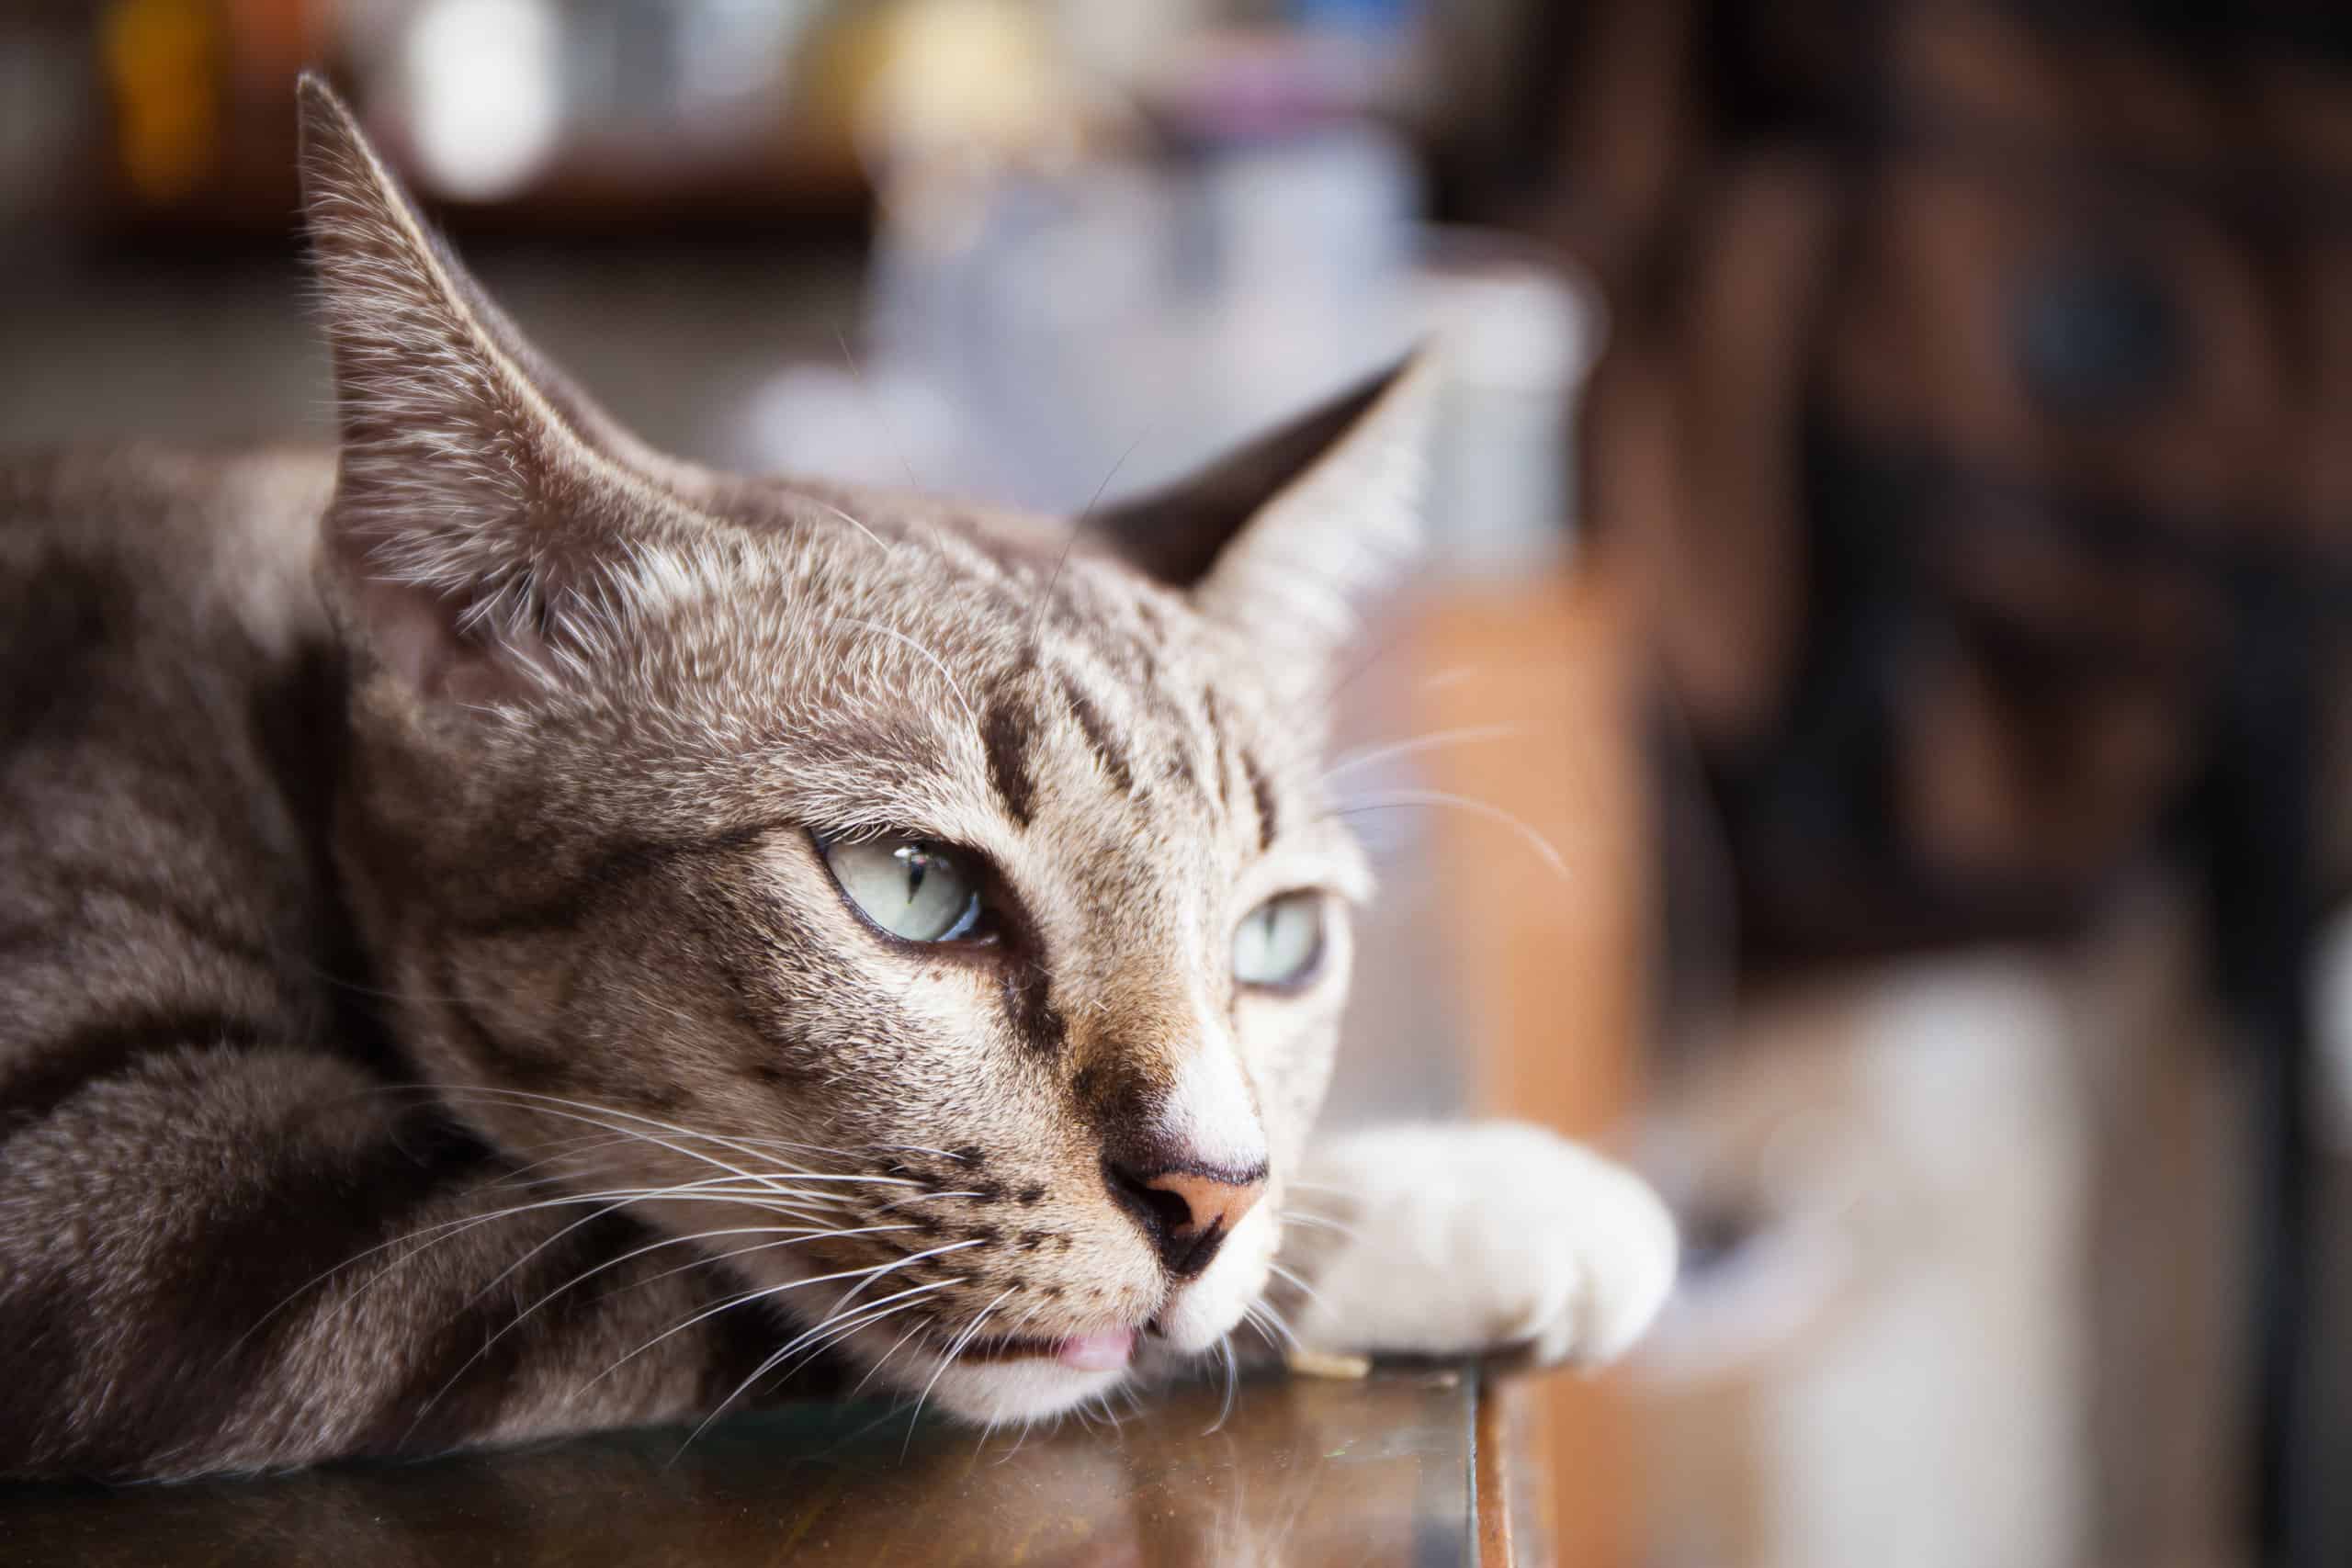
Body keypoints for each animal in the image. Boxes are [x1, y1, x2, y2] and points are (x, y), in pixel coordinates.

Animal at [0, 80, 1674, 1476]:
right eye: (913, 887)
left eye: (1277, 939)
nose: (1213, 1194)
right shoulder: (139, 1198)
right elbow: (667, 1275)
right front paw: (1483, 1197)